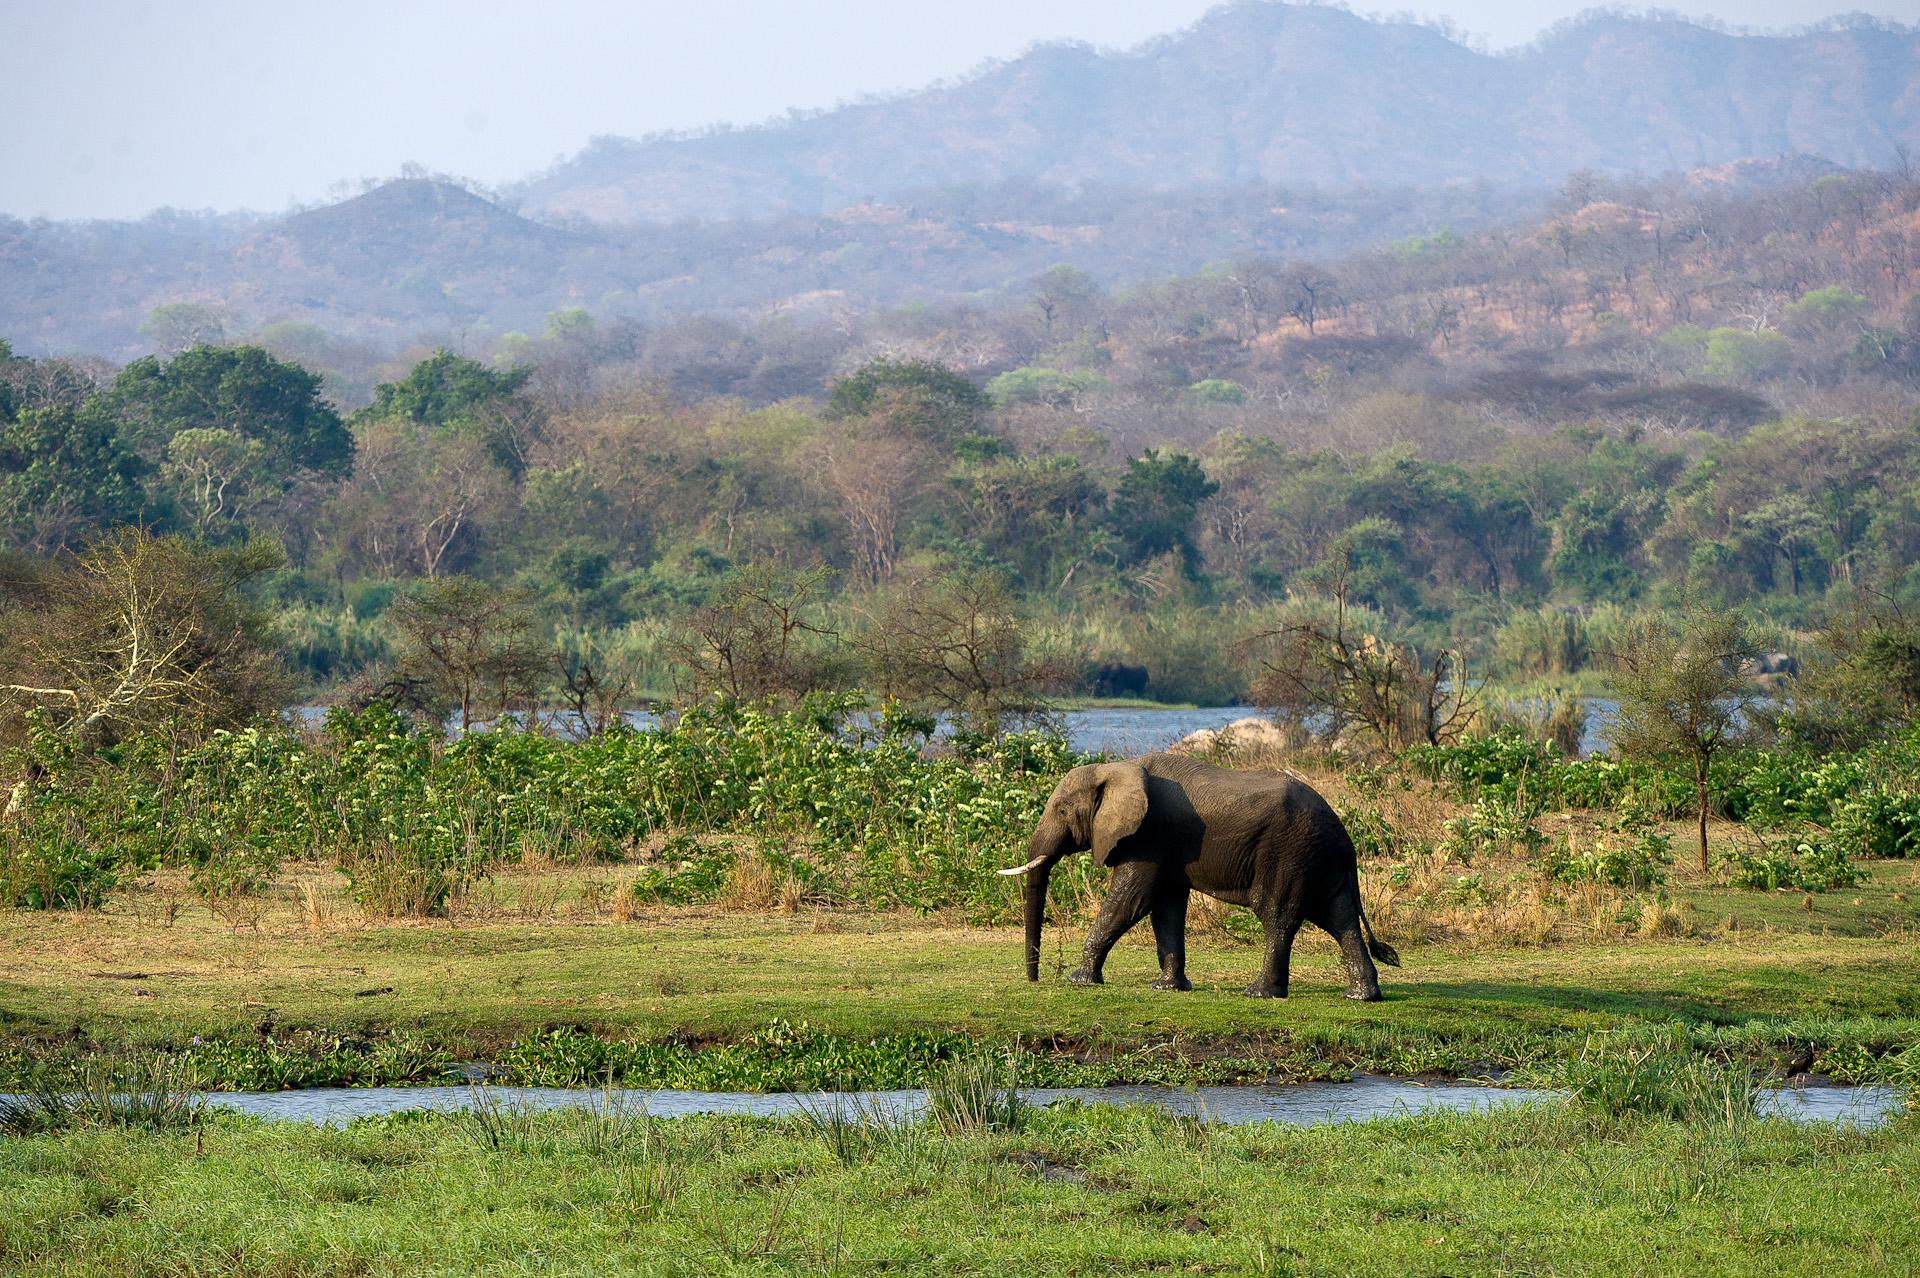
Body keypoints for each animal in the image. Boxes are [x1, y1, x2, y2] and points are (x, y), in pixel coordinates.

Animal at [1000, 753, 1399, 1000]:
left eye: (1061, 809)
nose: (1036, 979)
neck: (1117, 767)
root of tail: (1344, 838)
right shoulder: (1167, 846)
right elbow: (1166, 908)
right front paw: (1167, 988)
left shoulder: (1149, 835)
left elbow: (1131, 900)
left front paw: (1079, 980)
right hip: (1317, 859)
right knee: (1339, 917)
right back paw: (1362, 996)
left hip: (1290, 852)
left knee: (1276, 913)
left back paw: (1258, 993)